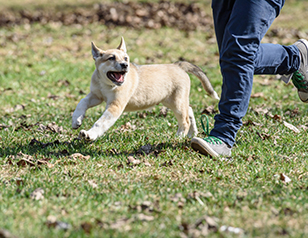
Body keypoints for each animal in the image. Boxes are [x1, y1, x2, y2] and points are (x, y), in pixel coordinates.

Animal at [71, 37, 219, 140]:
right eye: (111, 58)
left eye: (126, 58)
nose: (125, 65)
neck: (106, 83)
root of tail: (178, 65)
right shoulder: (96, 96)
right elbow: (82, 102)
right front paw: (76, 120)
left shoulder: (115, 106)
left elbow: (100, 123)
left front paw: (89, 135)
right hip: (171, 101)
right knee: (189, 110)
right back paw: (192, 133)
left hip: (176, 102)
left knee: (185, 120)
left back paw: (179, 136)